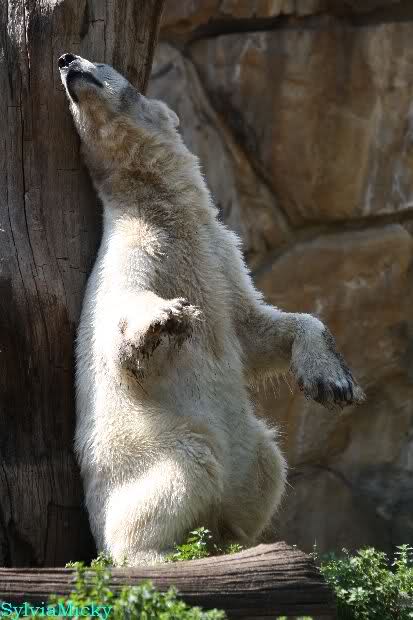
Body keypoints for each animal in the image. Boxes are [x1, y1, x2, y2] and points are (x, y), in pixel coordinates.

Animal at [58, 53, 365, 565]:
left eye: (103, 64)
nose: (67, 61)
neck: (168, 215)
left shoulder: (220, 256)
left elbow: (254, 329)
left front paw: (333, 380)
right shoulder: (126, 258)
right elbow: (121, 328)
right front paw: (164, 319)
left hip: (246, 450)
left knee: (267, 463)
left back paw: (234, 542)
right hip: (148, 450)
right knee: (183, 471)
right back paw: (161, 555)